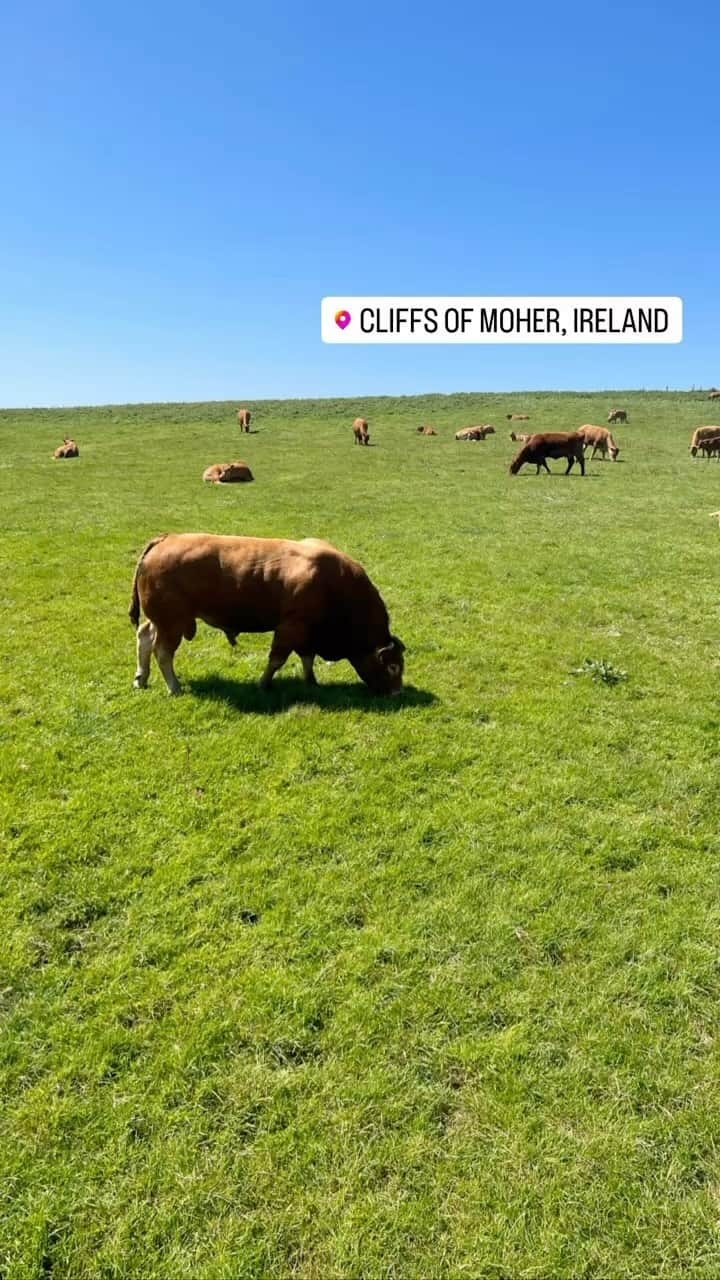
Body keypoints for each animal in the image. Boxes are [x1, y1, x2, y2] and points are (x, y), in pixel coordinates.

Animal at [129, 534, 405, 697]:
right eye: (393, 666)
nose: (397, 693)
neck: (334, 582)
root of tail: (165, 540)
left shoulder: (306, 632)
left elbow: (307, 657)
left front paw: (311, 681)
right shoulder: (290, 628)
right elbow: (277, 659)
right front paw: (264, 684)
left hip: (162, 621)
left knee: (144, 636)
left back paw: (141, 678)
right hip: (171, 623)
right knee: (162, 652)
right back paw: (174, 686)